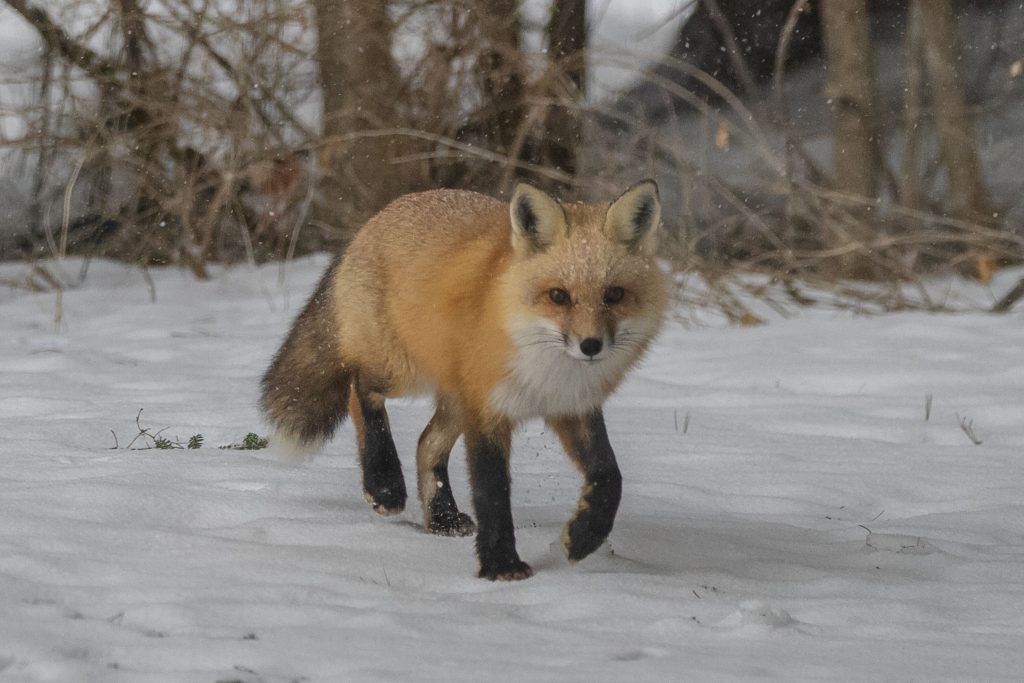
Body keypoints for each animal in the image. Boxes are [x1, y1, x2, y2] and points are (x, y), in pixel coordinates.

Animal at [260, 180, 668, 580]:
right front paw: (501, 565)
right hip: (403, 371)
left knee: (426, 444)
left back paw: (441, 517)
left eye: (614, 295)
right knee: (357, 386)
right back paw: (385, 483)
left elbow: (609, 476)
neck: (547, 370)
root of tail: (377, 217)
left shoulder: (572, 407)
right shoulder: (487, 410)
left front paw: (585, 537)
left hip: (455, 397)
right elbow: (492, 489)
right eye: (558, 296)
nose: (590, 346)